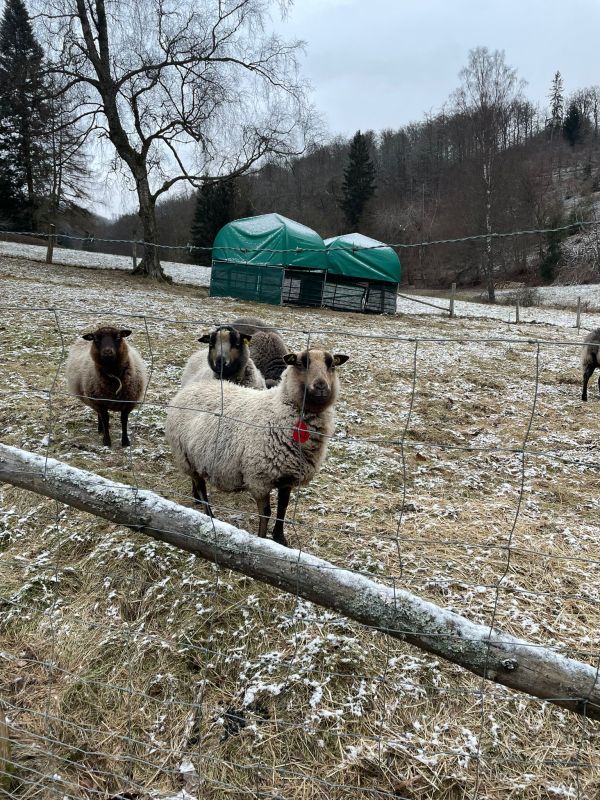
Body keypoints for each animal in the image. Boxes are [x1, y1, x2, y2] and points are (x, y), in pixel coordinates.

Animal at [166, 346, 350, 548]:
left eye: (332, 364)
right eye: (301, 363)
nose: (321, 386)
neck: (278, 412)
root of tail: (189, 389)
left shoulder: (288, 477)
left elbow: (282, 509)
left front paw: (280, 538)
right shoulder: (259, 478)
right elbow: (266, 513)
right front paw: (262, 540)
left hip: (194, 456)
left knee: (196, 480)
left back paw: (197, 499)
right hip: (185, 455)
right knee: (201, 487)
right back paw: (209, 514)